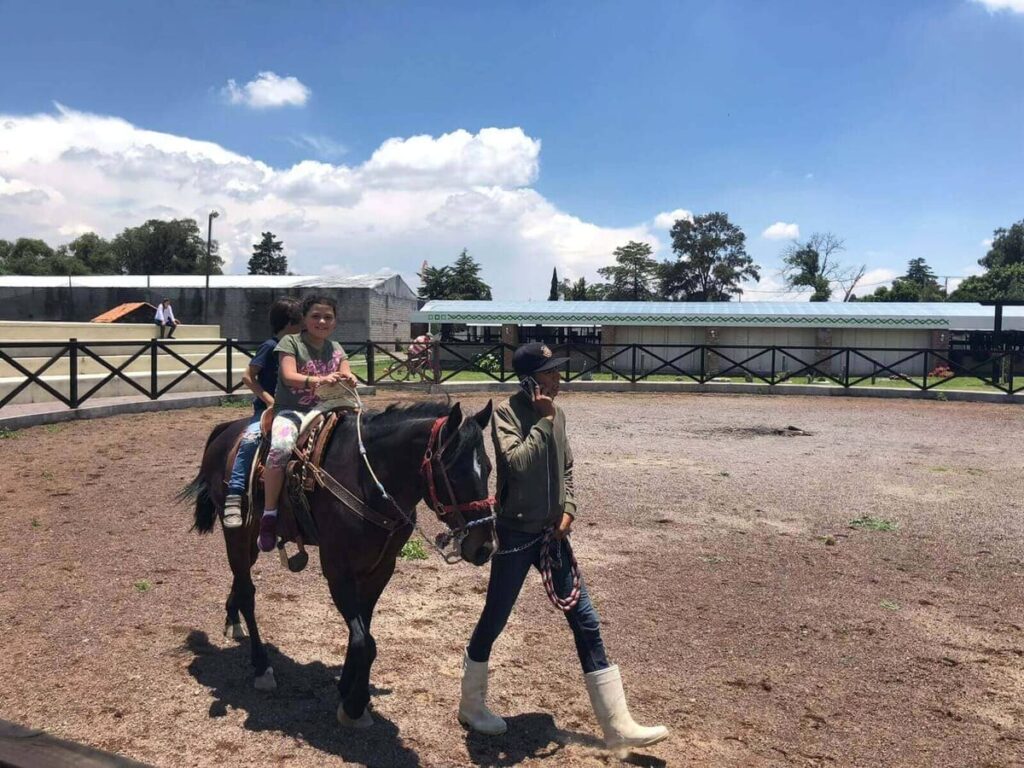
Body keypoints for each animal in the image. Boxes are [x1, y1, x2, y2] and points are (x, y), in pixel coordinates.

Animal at [181, 399, 495, 727]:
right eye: (455, 474)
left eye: (488, 468)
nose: (484, 546)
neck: (369, 481)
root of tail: (226, 430)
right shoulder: (337, 571)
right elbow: (364, 642)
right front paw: (355, 705)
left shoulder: (380, 569)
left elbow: (363, 631)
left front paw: (347, 686)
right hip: (237, 532)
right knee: (247, 592)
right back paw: (261, 666)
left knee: (240, 581)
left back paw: (233, 619)